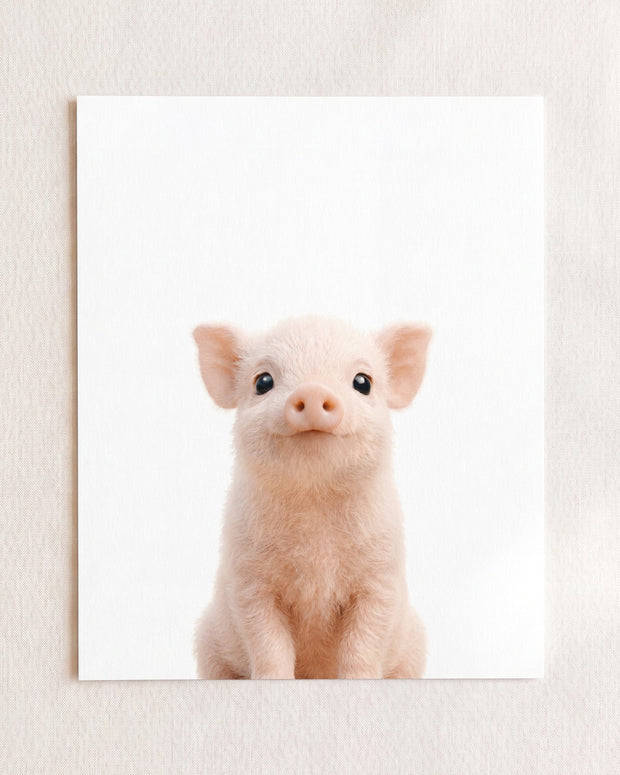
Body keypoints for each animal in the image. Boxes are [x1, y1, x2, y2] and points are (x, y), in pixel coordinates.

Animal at [192, 315, 431, 679]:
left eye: (363, 382)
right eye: (263, 381)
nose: (313, 389)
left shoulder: (381, 577)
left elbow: (364, 642)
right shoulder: (248, 580)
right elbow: (267, 641)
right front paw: (274, 681)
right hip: (207, 642)